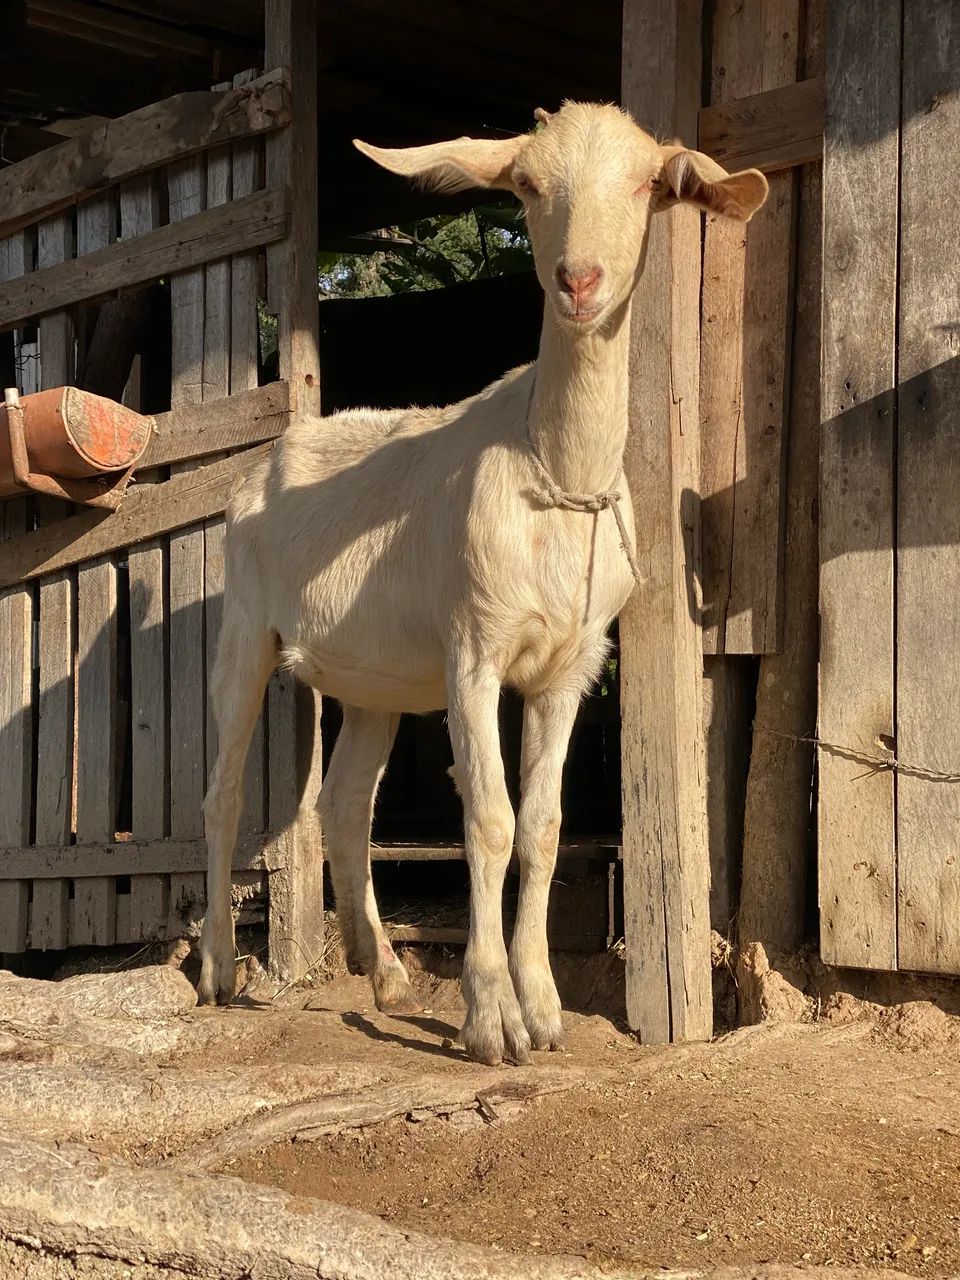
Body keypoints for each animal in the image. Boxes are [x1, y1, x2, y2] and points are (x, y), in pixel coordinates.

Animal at [198, 101, 767, 1066]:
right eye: (528, 185)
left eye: (647, 184)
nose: (579, 280)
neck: (558, 475)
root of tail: (267, 464)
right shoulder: (475, 650)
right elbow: (490, 822)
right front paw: (489, 1018)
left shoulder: (572, 666)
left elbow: (542, 827)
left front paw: (543, 1008)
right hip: (243, 629)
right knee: (222, 792)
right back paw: (213, 971)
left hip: (376, 677)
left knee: (345, 802)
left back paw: (385, 973)